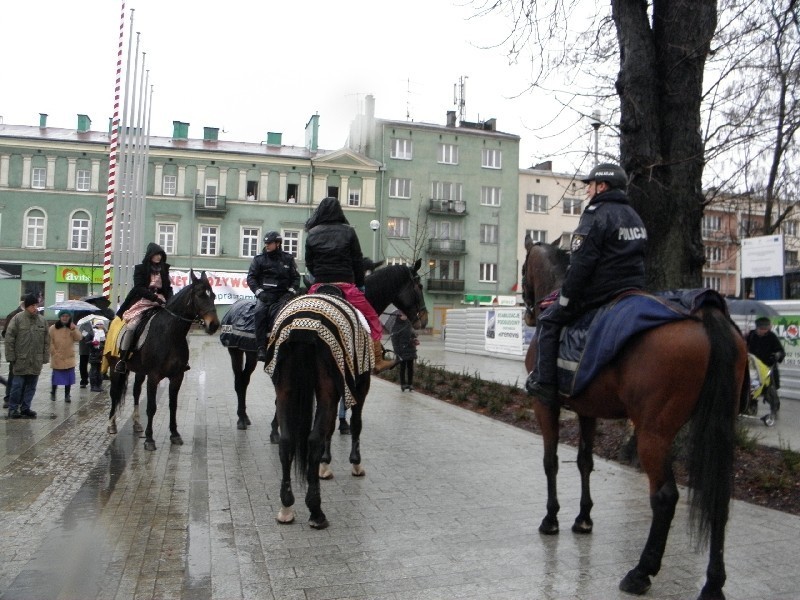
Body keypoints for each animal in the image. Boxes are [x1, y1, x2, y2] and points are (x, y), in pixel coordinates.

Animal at [105, 272, 222, 450]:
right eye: (200, 295)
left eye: (214, 296)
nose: (214, 325)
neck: (171, 334)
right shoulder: (154, 377)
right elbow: (151, 407)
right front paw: (149, 439)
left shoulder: (177, 376)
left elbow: (172, 405)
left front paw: (175, 434)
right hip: (114, 368)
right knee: (114, 393)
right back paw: (111, 424)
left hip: (139, 372)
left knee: (136, 392)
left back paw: (136, 424)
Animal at [520, 239, 748, 600]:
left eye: (523, 267)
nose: (528, 311)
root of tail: (704, 313)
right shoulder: (587, 410)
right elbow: (585, 462)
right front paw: (583, 518)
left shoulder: (546, 405)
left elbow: (551, 461)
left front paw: (551, 519)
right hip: (718, 428)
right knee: (719, 499)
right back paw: (713, 583)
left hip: (652, 433)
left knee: (665, 497)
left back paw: (641, 572)